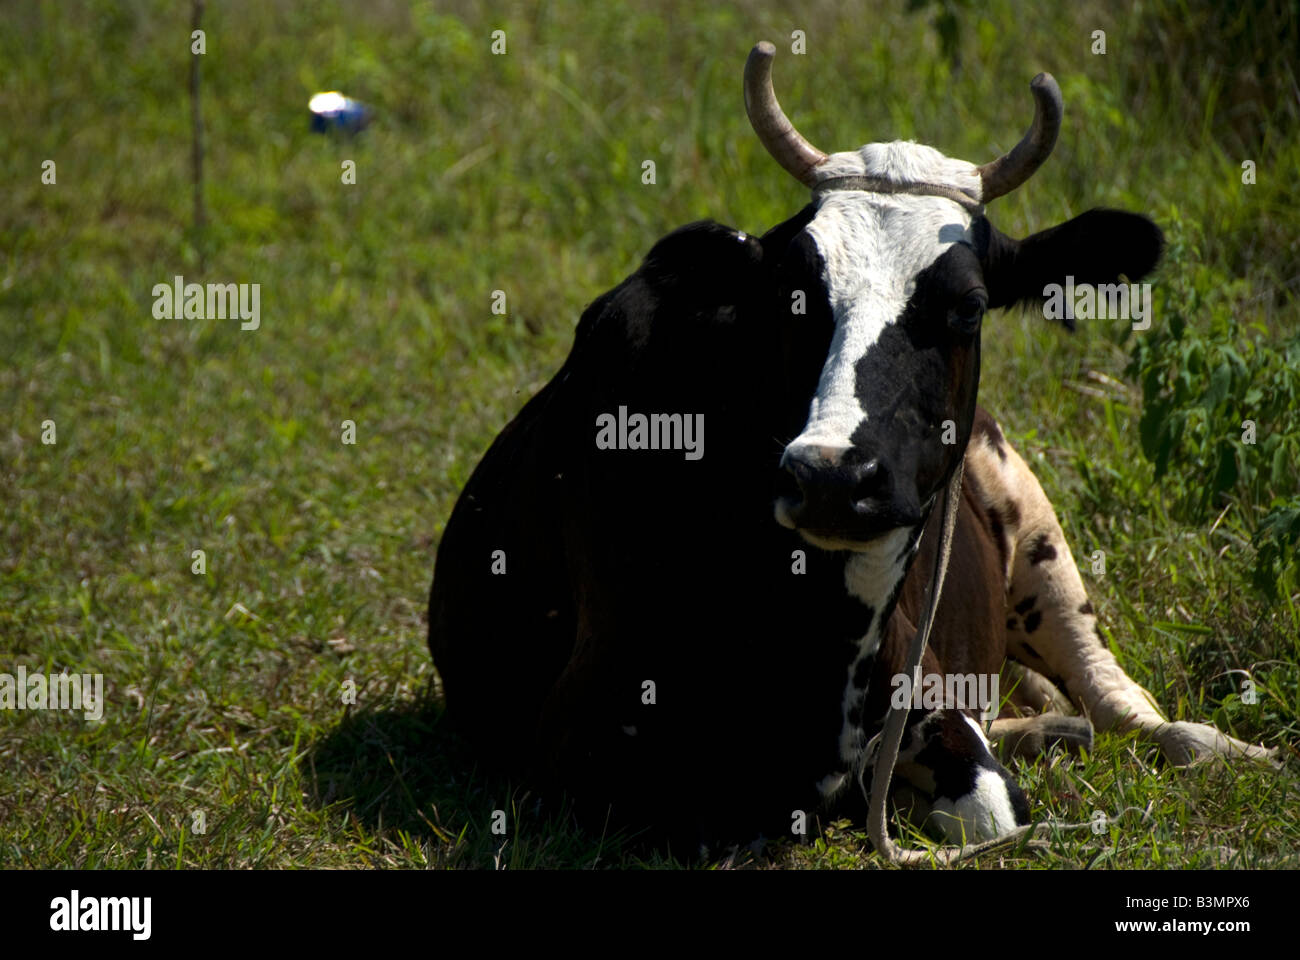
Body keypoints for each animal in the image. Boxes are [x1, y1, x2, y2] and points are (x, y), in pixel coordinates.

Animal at [428, 42, 1274, 853]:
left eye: (970, 307)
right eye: (791, 293)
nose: (834, 478)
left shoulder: (930, 696)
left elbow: (991, 810)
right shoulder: (584, 744)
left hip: (1039, 537)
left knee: (1120, 699)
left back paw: (1218, 745)